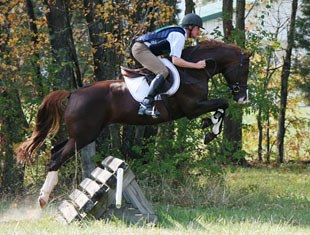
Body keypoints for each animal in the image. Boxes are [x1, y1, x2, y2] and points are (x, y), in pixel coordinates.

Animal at [15, 39, 252, 207]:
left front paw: (210, 127)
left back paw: (44, 196)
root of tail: (74, 93)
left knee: (55, 150)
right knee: (57, 158)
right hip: (84, 135)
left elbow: (222, 106)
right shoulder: (193, 108)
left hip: (80, 135)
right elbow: (222, 104)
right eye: (245, 69)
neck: (194, 70)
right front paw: (211, 130)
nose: (243, 98)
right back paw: (42, 199)